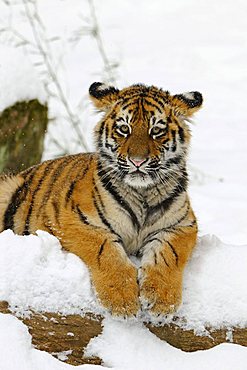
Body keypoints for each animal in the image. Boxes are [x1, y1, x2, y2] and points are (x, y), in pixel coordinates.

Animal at [0, 83, 203, 318]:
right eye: (124, 129)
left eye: (156, 130)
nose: (138, 161)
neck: (142, 193)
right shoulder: (76, 221)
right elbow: (106, 252)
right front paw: (123, 301)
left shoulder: (182, 225)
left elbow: (169, 254)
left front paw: (161, 301)